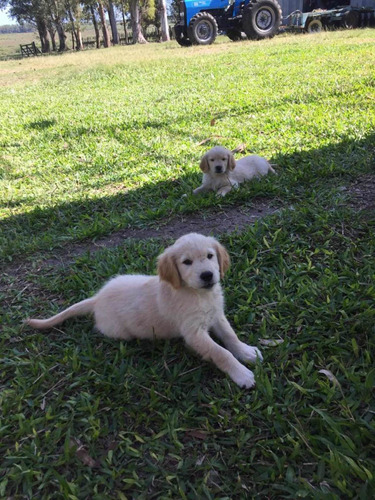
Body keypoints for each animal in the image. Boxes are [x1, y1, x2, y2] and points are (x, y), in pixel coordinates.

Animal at [26, 232, 262, 388]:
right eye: (186, 262)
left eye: (210, 256)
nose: (207, 275)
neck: (198, 294)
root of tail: (97, 299)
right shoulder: (193, 332)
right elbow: (220, 352)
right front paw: (242, 374)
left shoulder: (216, 316)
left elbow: (230, 336)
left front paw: (246, 352)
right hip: (119, 331)